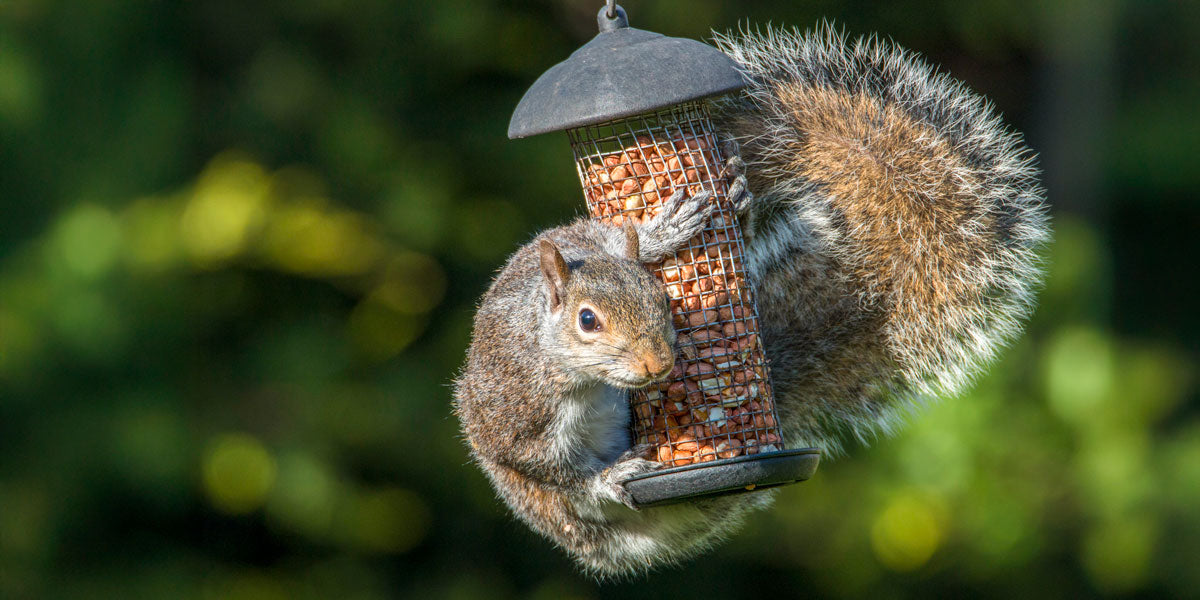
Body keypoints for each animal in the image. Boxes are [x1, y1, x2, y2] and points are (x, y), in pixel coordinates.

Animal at [451, 25, 1051, 578]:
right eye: (586, 321)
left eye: (660, 299)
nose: (657, 365)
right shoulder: (516, 416)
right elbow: (553, 469)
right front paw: (610, 475)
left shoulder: (581, 239)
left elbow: (612, 237)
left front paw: (664, 233)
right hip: (554, 511)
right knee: (576, 503)